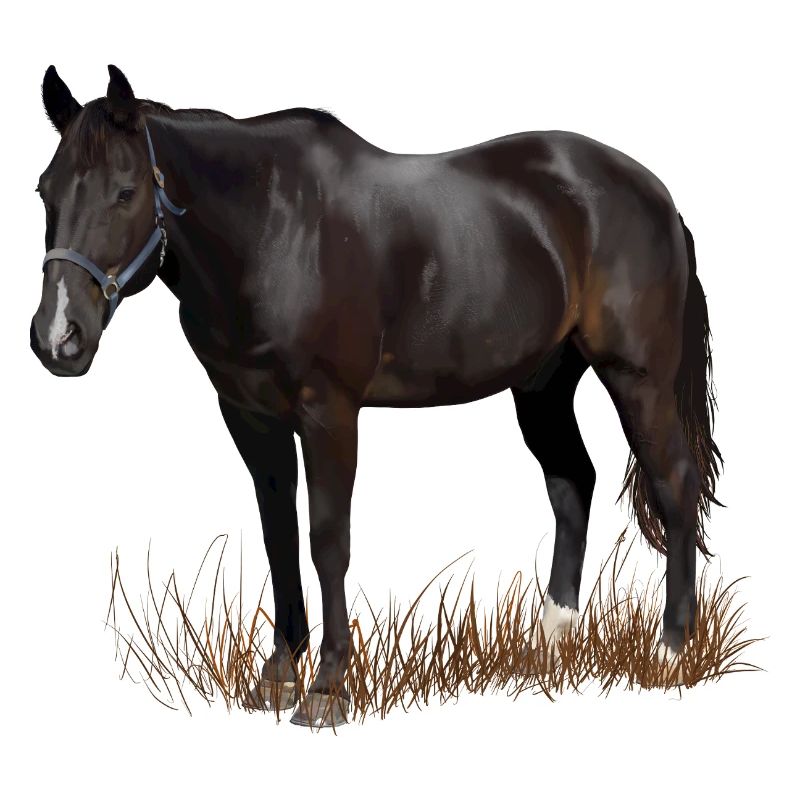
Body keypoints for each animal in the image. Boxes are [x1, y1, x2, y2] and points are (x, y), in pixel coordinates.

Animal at [30, 65, 722, 727]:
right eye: (45, 190)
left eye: (125, 192)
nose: (58, 337)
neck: (273, 228)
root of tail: (657, 196)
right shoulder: (250, 416)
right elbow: (279, 535)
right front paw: (278, 674)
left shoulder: (329, 413)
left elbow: (327, 540)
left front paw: (328, 687)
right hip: (543, 384)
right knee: (572, 481)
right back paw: (551, 641)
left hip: (638, 377)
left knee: (674, 482)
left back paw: (671, 649)